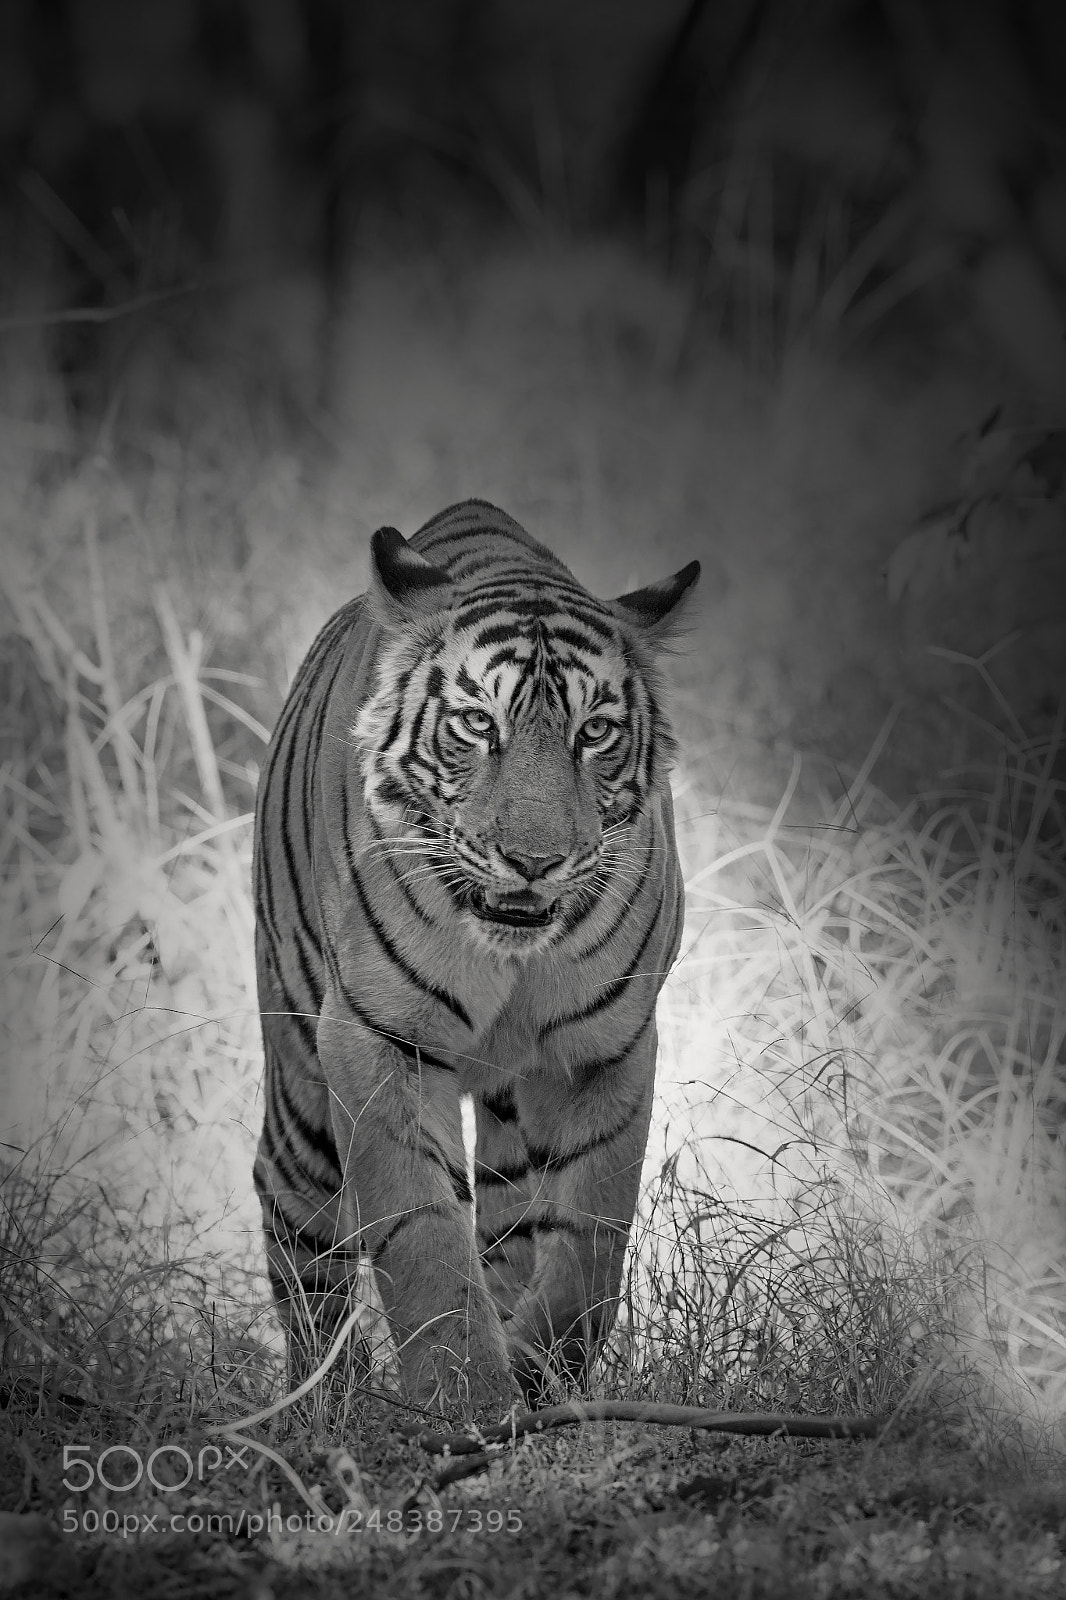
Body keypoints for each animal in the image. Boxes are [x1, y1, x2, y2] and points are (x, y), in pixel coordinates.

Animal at [253, 498, 699, 1419]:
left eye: (595, 732)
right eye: (477, 725)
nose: (534, 860)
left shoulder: (607, 1052)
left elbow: (591, 1245)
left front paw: (537, 1376)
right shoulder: (377, 1037)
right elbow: (422, 1234)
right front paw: (469, 1406)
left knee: (509, 1223)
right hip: (299, 1090)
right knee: (301, 1238)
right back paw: (324, 1405)